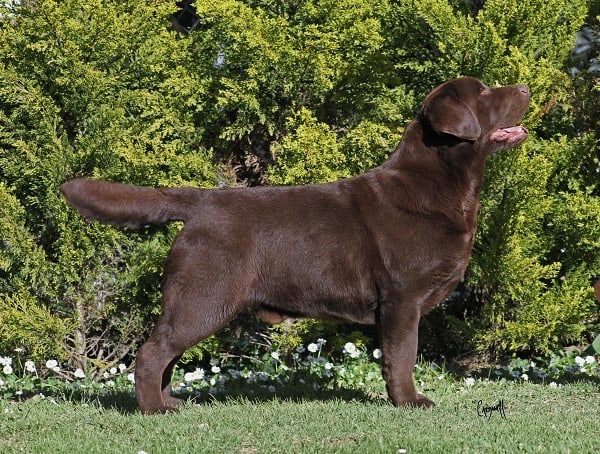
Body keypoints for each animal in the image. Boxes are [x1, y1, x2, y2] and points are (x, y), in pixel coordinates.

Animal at [59, 76, 528, 414]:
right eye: (484, 93)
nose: (525, 88)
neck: (442, 185)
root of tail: (201, 201)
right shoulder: (401, 299)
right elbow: (402, 355)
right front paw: (410, 402)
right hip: (203, 295)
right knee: (152, 352)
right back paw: (153, 410)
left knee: (167, 353)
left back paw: (170, 401)